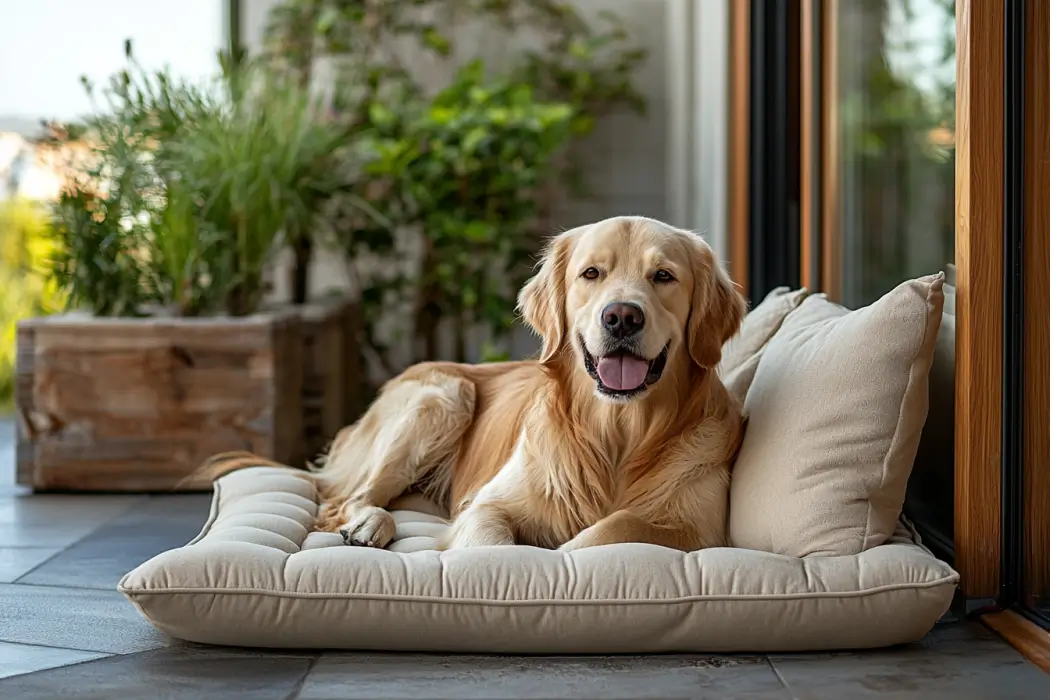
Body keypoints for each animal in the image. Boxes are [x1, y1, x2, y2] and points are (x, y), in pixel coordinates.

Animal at [204, 216, 747, 554]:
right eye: (591, 273)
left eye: (664, 276)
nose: (622, 317)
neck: (617, 433)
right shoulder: (488, 506)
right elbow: (493, 545)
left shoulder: (700, 531)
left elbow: (612, 528)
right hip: (443, 396)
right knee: (346, 499)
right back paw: (369, 525)